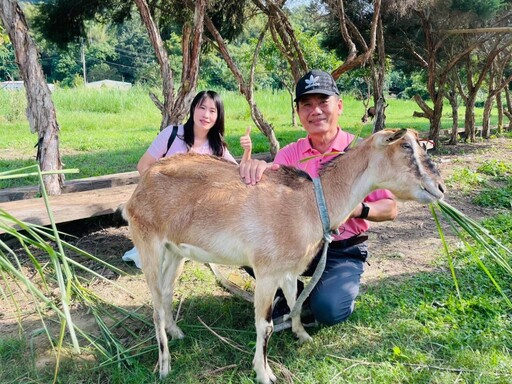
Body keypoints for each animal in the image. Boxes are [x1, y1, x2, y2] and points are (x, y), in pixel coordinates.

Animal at [123, 128, 444, 380]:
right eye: (405, 145)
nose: (439, 188)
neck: (311, 203)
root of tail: (139, 189)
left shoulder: (288, 270)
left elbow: (295, 303)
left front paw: (303, 336)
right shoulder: (266, 272)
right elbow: (264, 326)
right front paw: (264, 372)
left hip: (174, 252)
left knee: (167, 292)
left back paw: (177, 332)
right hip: (149, 243)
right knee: (155, 305)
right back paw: (165, 365)